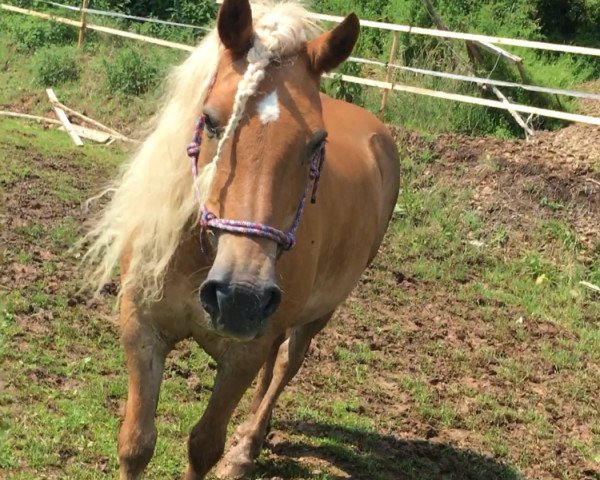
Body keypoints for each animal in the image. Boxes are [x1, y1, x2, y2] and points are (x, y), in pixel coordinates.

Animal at [84, 1, 400, 478]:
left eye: (317, 142)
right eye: (211, 120)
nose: (240, 297)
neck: (199, 256)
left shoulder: (242, 355)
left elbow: (203, 446)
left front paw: (229, 449)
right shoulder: (141, 327)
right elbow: (136, 443)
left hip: (318, 313)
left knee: (287, 362)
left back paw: (246, 446)